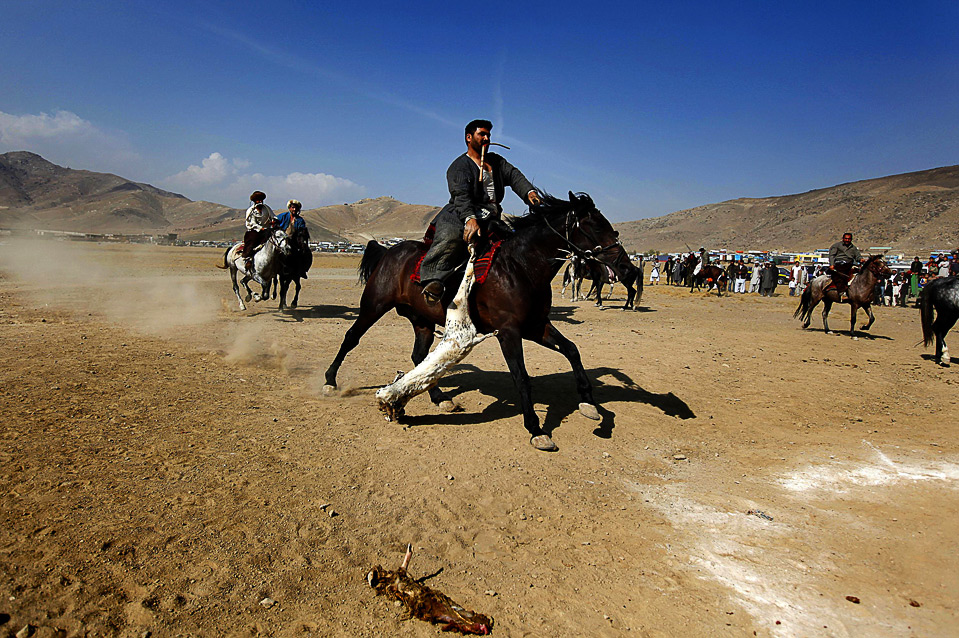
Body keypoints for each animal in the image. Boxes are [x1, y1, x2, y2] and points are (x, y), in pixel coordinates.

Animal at [322, 192, 624, 452]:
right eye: (594, 226)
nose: (621, 262)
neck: (520, 266)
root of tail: (388, 251)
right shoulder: (508, 332)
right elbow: (522, 377)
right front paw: (536, 429)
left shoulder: (535, 326)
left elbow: (572, 349)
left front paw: (589, 404)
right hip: (373, 306)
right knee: (351, 338)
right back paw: (329, 381)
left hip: (422, 321)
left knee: (419, 356)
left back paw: (439, 398)